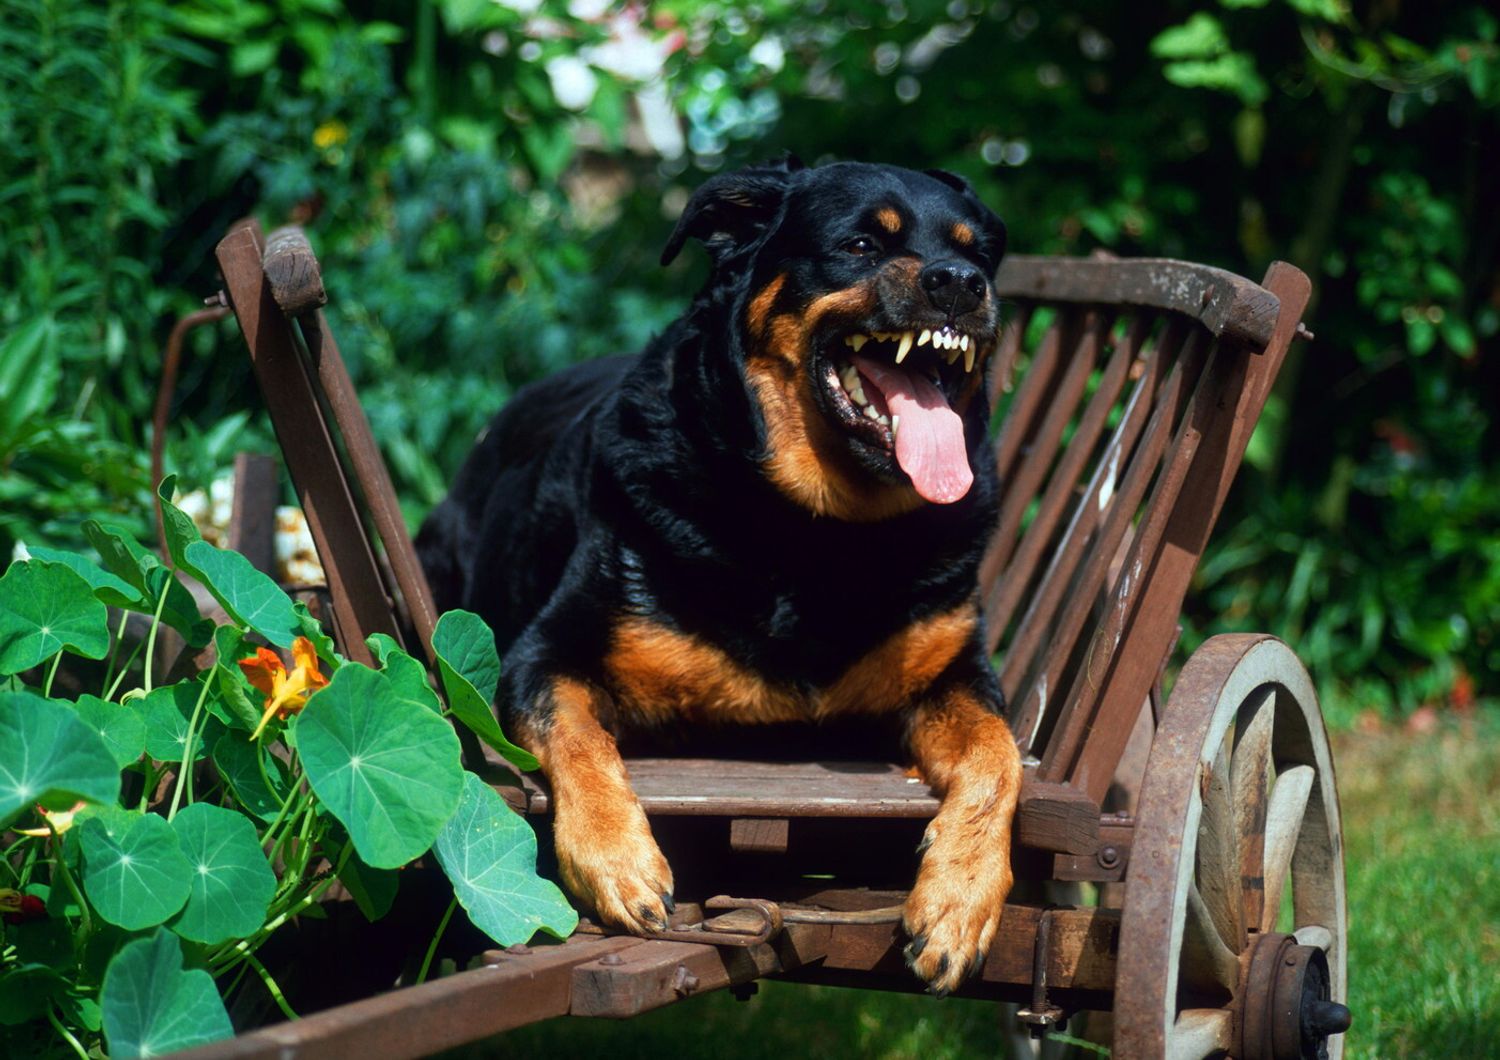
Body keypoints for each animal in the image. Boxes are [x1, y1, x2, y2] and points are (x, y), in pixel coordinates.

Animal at [426, 157, 1032, 995]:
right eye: (859, 245)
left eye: (979, 254)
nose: (961, 284)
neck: (813, 532)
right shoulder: (540, 657)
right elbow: (578, 736)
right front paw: (618, 859)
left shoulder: (955, 676)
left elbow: (1000, 758)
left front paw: (959, 901)